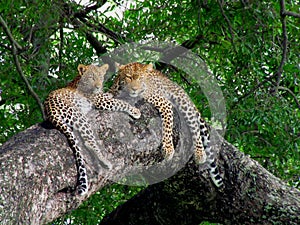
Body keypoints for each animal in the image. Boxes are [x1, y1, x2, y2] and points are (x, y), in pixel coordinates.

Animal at [44, 63, 141, 195]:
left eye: (100, 77)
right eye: (91, 77)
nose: (98, 86)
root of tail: (50, 110)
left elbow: (109, 94)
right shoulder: (100, 100)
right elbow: (120, 103)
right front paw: (135, 111)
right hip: (79, 116)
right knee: (89, 142)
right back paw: (105, 161)